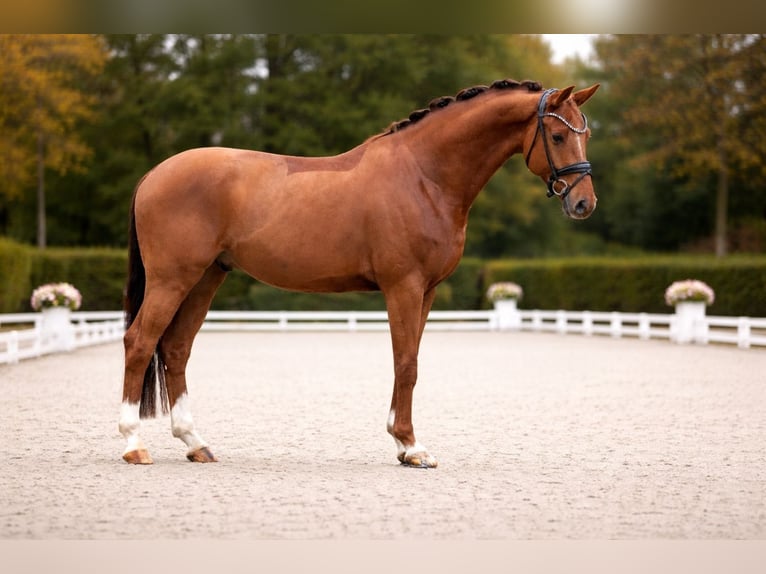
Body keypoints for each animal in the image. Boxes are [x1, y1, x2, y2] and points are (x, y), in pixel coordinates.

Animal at [119, 79, 600, 467]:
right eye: (558, 135)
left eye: (587, 134)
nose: (584, 203)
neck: (424, 175)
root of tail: (154, 174)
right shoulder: (403, 286)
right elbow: (406, 363)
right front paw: (412, 447)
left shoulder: (427, 291)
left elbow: (411, 360)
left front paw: (404, 445)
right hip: (173, 278)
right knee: (140, 342)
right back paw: (133, 444)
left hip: (206, 277)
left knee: (176, 348)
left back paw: (195, 443)